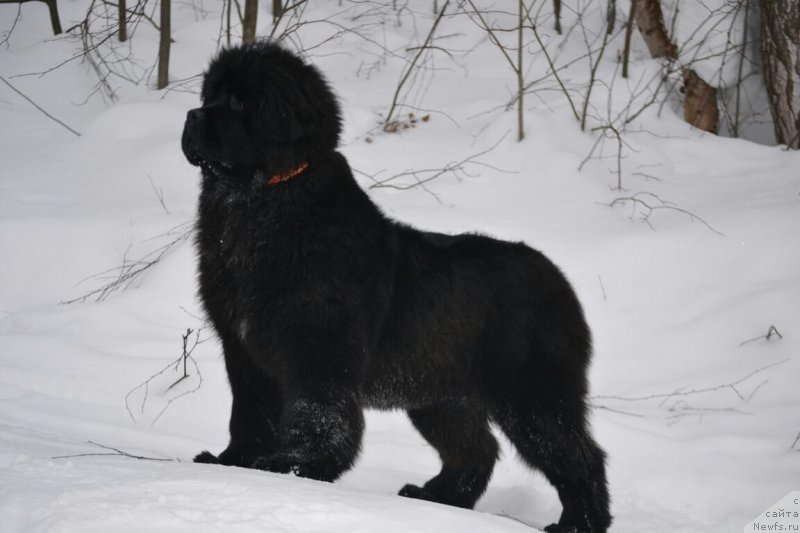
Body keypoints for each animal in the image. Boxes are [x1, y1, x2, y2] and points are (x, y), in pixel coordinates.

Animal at [181, 42, 612, 532]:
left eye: (238, 103)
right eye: (210, 95)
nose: (192, 115)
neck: (259, 206)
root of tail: (559, 279)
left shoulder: (318, 345)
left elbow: (316, 415)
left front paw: (294, 468)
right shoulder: (243, 347)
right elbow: (250, 412)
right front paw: (232, 462)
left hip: (532, 393)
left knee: (579, 456)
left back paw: (578, 522)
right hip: (441, 395)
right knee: (477, 449)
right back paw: (435, 497)